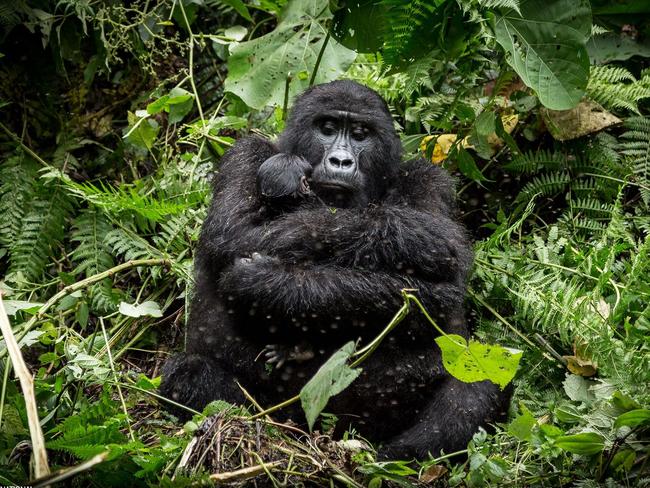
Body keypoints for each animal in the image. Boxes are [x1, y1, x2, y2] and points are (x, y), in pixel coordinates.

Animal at [159, 79, 508, 458]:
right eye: (326, 128)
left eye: (360, 134)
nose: (340, 160)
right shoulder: (244, 153)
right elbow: (233, 235)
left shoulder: (429, 177)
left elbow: (440, 283)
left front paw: (268, 282)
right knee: (187, 374)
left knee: (478, 381)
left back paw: (391, 456)